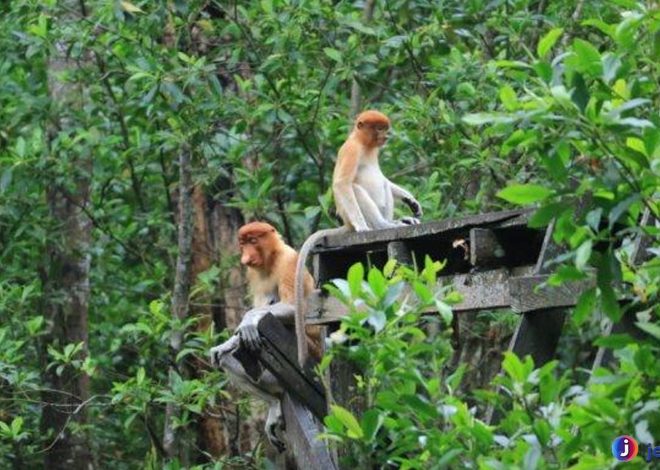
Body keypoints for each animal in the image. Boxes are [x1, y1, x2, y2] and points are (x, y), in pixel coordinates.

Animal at [208, 222, 318, 454]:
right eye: (243, 243)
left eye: (253, 241)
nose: (245, 257)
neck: (271, 258)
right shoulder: (254, 275)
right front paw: (225, 344)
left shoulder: (289, 260)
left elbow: (293, 306)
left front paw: (247, 322)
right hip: (270, 377)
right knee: (228, 360)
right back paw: (274, 403)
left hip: (307, 350)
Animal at [294, 111, 422, 368]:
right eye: (379, 128)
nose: (386, 135)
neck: (364, 144)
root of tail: (346, 223)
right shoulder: (352, 150)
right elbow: (342, 184)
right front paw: (364, 229)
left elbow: (385, 180)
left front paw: (411, 202)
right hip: (353, 212)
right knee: (355, 188)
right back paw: (381, 226)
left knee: (383, 183)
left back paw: (401, 221)